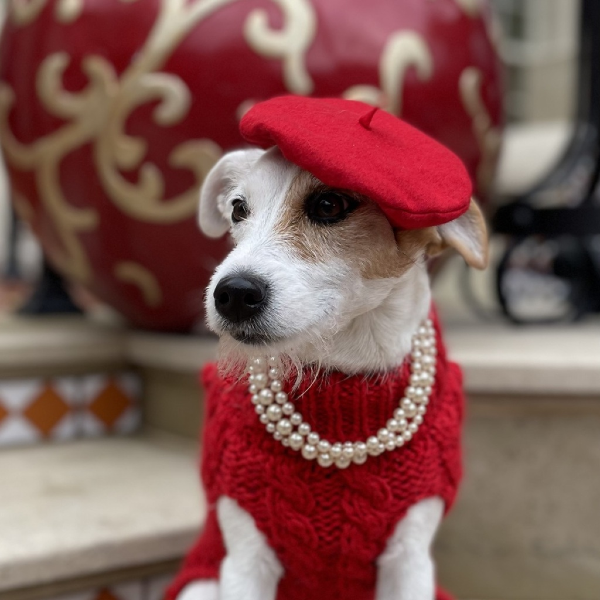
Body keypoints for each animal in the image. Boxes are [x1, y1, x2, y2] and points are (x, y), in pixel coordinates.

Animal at [169, 97, 488, 600]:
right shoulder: (246, 554)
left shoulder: (409, 557)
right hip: (199, 585)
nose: (232, 294)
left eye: (329, 203)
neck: (342, 374)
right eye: (238, 209)